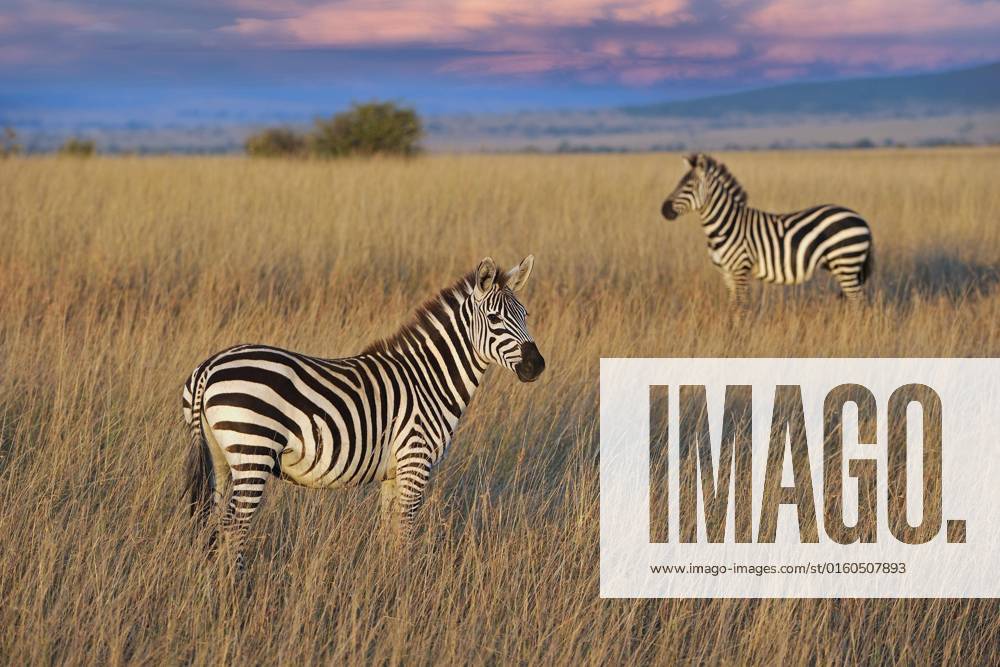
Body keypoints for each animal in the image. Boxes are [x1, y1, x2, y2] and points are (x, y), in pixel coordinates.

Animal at [183, 256, 545, 570]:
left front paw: (386, 578)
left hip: (220, 457)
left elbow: (388, 531)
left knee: (214, 522)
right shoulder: (416, 461)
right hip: (253, 452)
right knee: (234, 526)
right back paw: (235, 587)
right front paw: (405, 584)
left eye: (526, 314)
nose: (536, 365)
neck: (429, 379)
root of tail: (208, 367)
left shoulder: (393, 472)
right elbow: (405, 531)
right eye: (495, 319)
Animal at [660, 153, 873, 305]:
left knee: (858, 301)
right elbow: (732, 304)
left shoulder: (740, 268)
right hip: (844, 265)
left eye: (688, 186)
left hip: (846, 262)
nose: (663, 210)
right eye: (678, 184)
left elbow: (741, 304)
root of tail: (862, 219)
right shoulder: (726, 272)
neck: (725, 225)